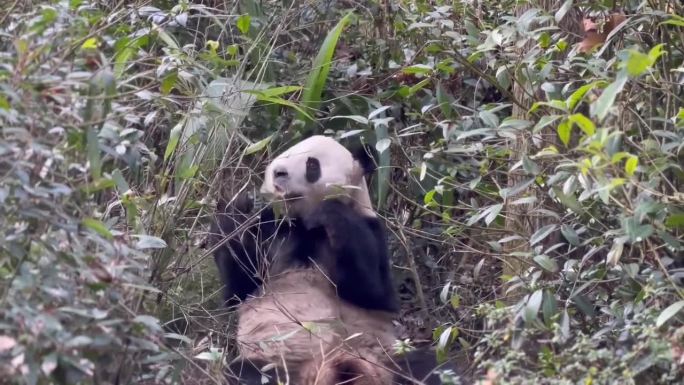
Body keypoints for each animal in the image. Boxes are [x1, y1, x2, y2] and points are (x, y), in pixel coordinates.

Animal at [208, 134, 454, 380]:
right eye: (281, 158)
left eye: (312, 165)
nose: (279, 172)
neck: (304, 224)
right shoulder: (271, 231)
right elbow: (239, 290)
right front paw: (238, 209)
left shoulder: (372, 229)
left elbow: (375, 292)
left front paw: (330, 211)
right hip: (276, 361)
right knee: (245, 372)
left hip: (385, 358)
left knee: (431, 366)